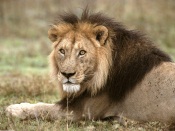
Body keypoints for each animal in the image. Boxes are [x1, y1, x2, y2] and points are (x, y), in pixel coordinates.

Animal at [5, 9, 175, 124]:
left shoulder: (80, 111)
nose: (67, 74)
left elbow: (42, 108)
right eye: (62, 51)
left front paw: (13, 109)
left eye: (82, 52)